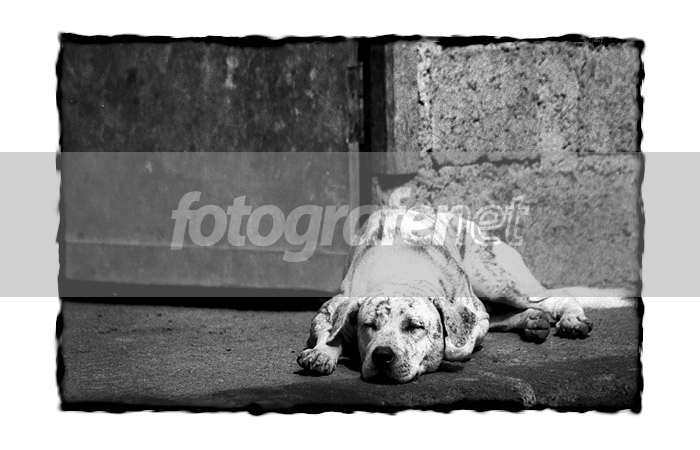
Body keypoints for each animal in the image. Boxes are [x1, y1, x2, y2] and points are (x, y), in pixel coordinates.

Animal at [297, 192, 631, 383]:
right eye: (370, 325)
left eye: (415, 327)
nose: (382, 356)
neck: (400, 274)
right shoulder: (332, 308)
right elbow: (330, 330)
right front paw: (322, 353)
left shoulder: (472, 313)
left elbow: (459, 344)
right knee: (512, 313)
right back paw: (532, 322)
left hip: (497, 282)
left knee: (550, 296)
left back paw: (571, 318)